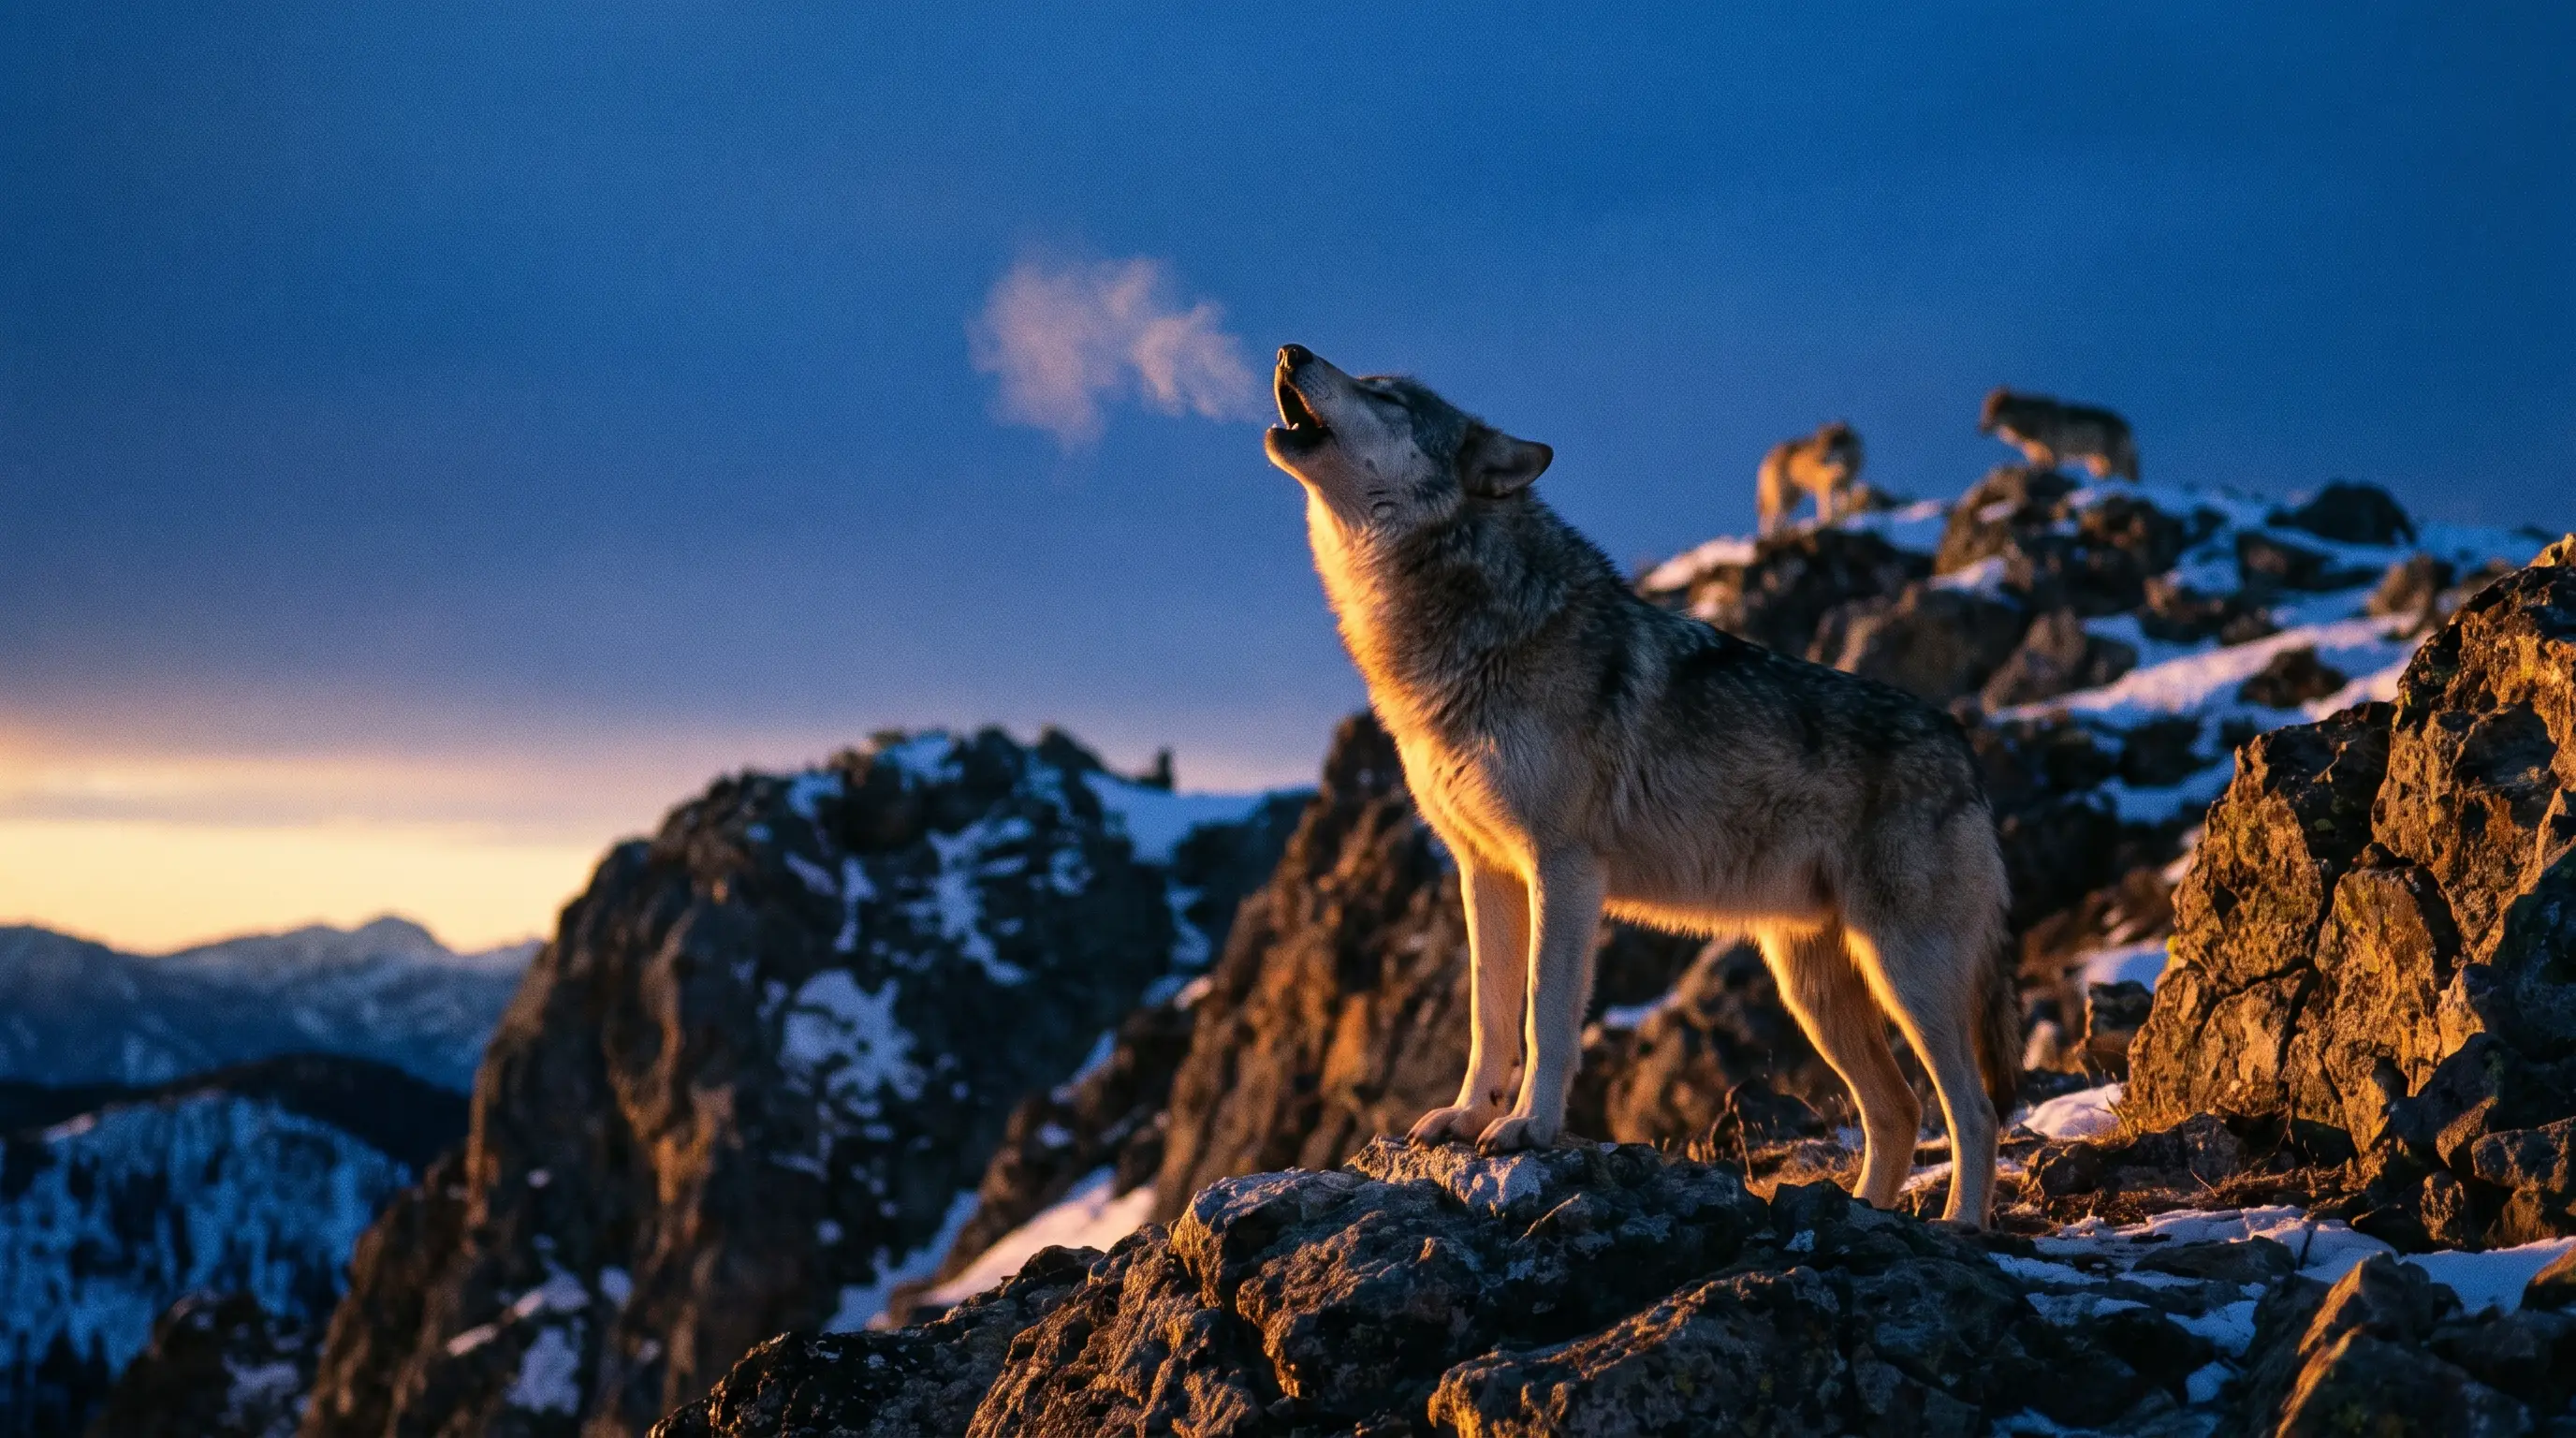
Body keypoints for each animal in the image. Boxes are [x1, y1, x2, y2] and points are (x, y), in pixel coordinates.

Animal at [1264, 344, 2018, 1226]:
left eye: (1385, 395)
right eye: (1370, 377)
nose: (1290, 351)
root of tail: (1964, 750)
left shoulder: (1564, 870)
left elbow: (1545, 1016)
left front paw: (1528, 1129)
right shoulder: (1485, 872)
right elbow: (1489, 1015)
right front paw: (1466, 1116)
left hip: (1907, 974)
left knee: (1973, 1109)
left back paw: (1961, 1226)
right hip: (1811, 988)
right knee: (1897, 1110)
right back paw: (1858, 1211)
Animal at [1979, 388, 2139, 482]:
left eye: (1994, 413)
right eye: (1986, 413)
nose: (1979, 429)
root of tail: (2128, 427)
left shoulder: (2054, 452)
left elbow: (2052, 467)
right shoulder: (2037, 453)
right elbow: (2039, 466)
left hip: (2113, 463)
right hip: (2096, 462)